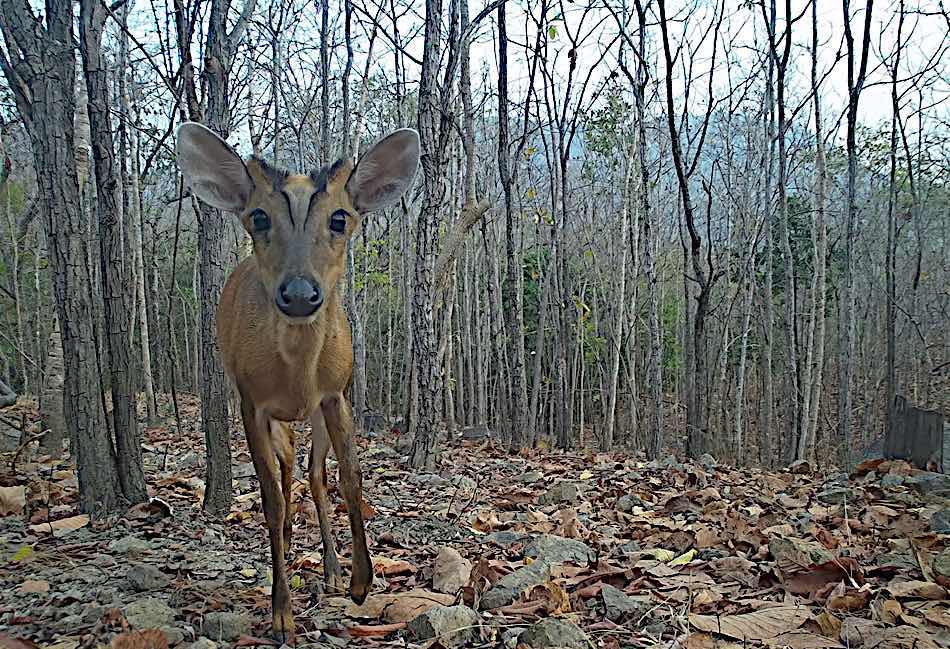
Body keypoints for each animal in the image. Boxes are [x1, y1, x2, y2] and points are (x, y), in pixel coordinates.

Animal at [176, 123, 420, 644]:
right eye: (259, 217)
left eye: (340, 219)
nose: (301, 294)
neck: (296, 374)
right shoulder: (251, 404)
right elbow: (268, 498)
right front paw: (281, 615)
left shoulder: (336, 394)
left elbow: (350, 477)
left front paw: (360, 581)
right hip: (275, 420)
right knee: (286, 475)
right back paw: (289, 541)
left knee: (312, 474)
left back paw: (330, 568)